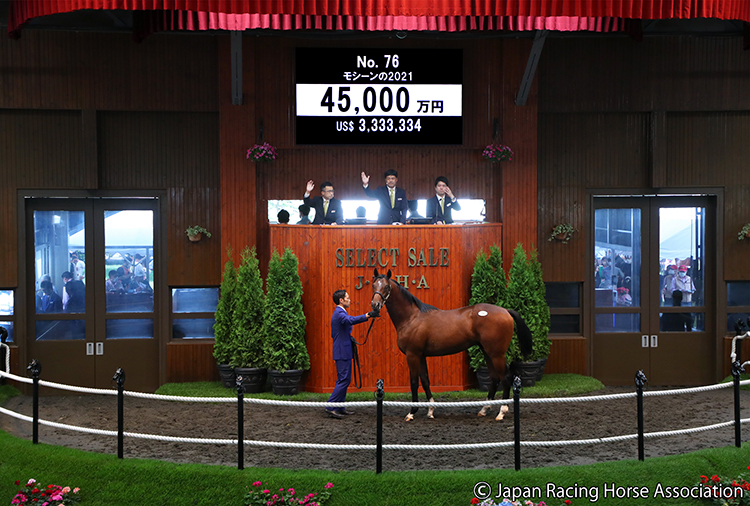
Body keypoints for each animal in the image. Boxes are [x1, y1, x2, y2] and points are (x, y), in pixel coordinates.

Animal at [370, 269, 533, 421]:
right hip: (487, 352)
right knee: (494, 378)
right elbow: (425, 381)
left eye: (386, 286)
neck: (412, 317)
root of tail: (505, 311)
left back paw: (501, 412)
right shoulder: (421, 356)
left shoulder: (412, 355)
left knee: (505, 377)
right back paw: (484, 409)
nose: (375, 305)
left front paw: (411, 412)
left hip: (496, 354)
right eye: (373, 285)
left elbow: (414, 382)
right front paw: (430, 410)